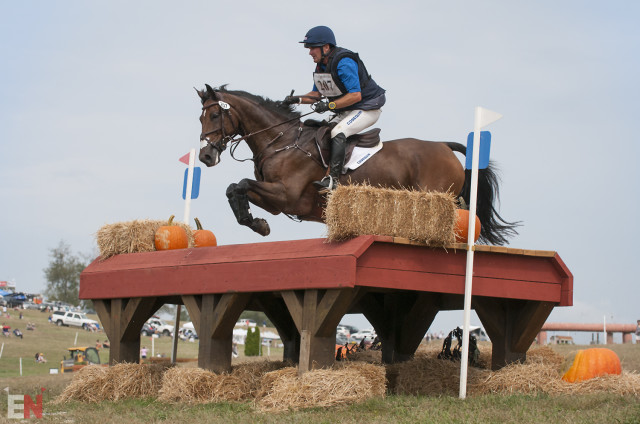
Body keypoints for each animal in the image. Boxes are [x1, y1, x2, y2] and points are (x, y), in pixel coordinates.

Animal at [198, 85, 516, 245]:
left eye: (214, 115)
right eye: (200, 117)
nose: (205, 156)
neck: (283, 140)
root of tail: (444, 146)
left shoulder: (287, 196)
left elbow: (239, 184)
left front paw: (257, 224)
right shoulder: (278, 201)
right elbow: (235, 188)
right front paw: (257, 223)